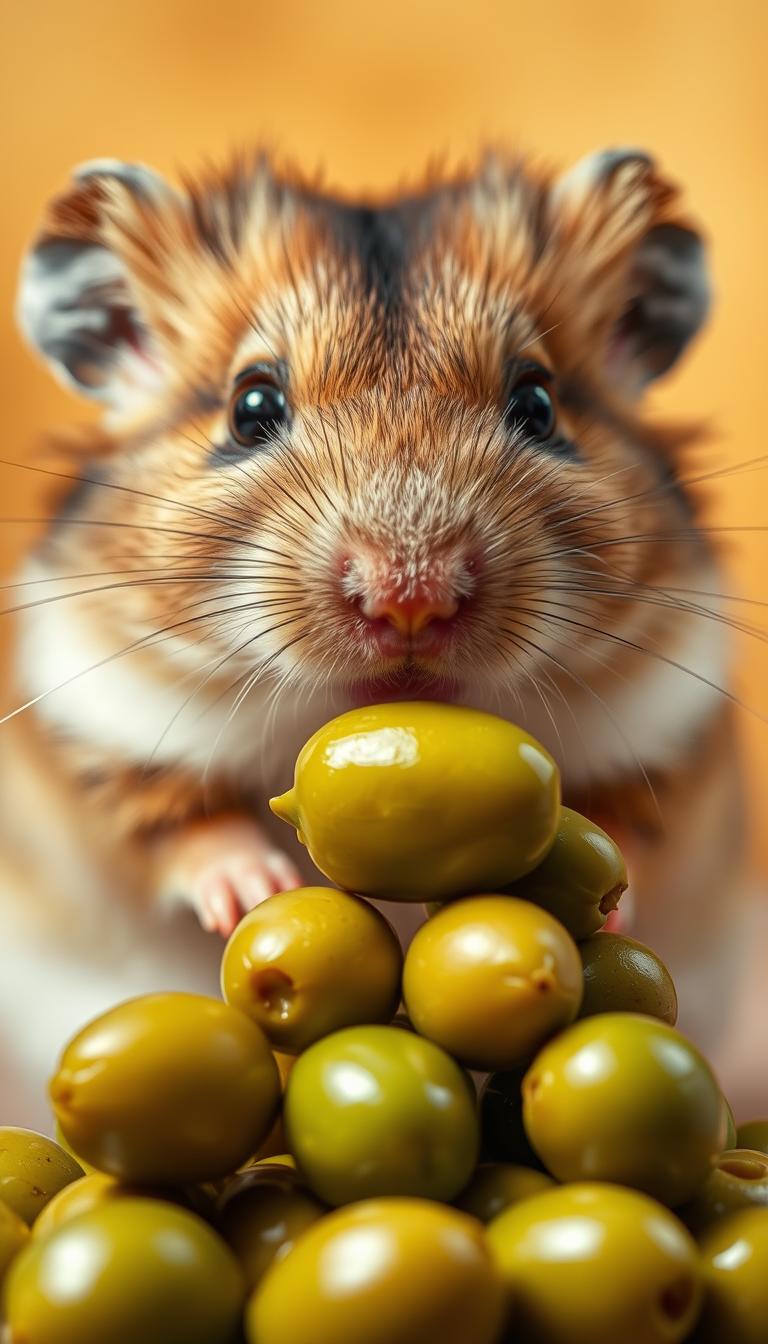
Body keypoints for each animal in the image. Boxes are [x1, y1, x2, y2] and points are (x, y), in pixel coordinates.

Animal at [1, 147, 759, 1122]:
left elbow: (633, 830)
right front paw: (263, 890)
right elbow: (177, 825)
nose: (410, 600)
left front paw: (613, 904)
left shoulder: (672, 741)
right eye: (251, 405)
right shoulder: (89, 734)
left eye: (539, 403)